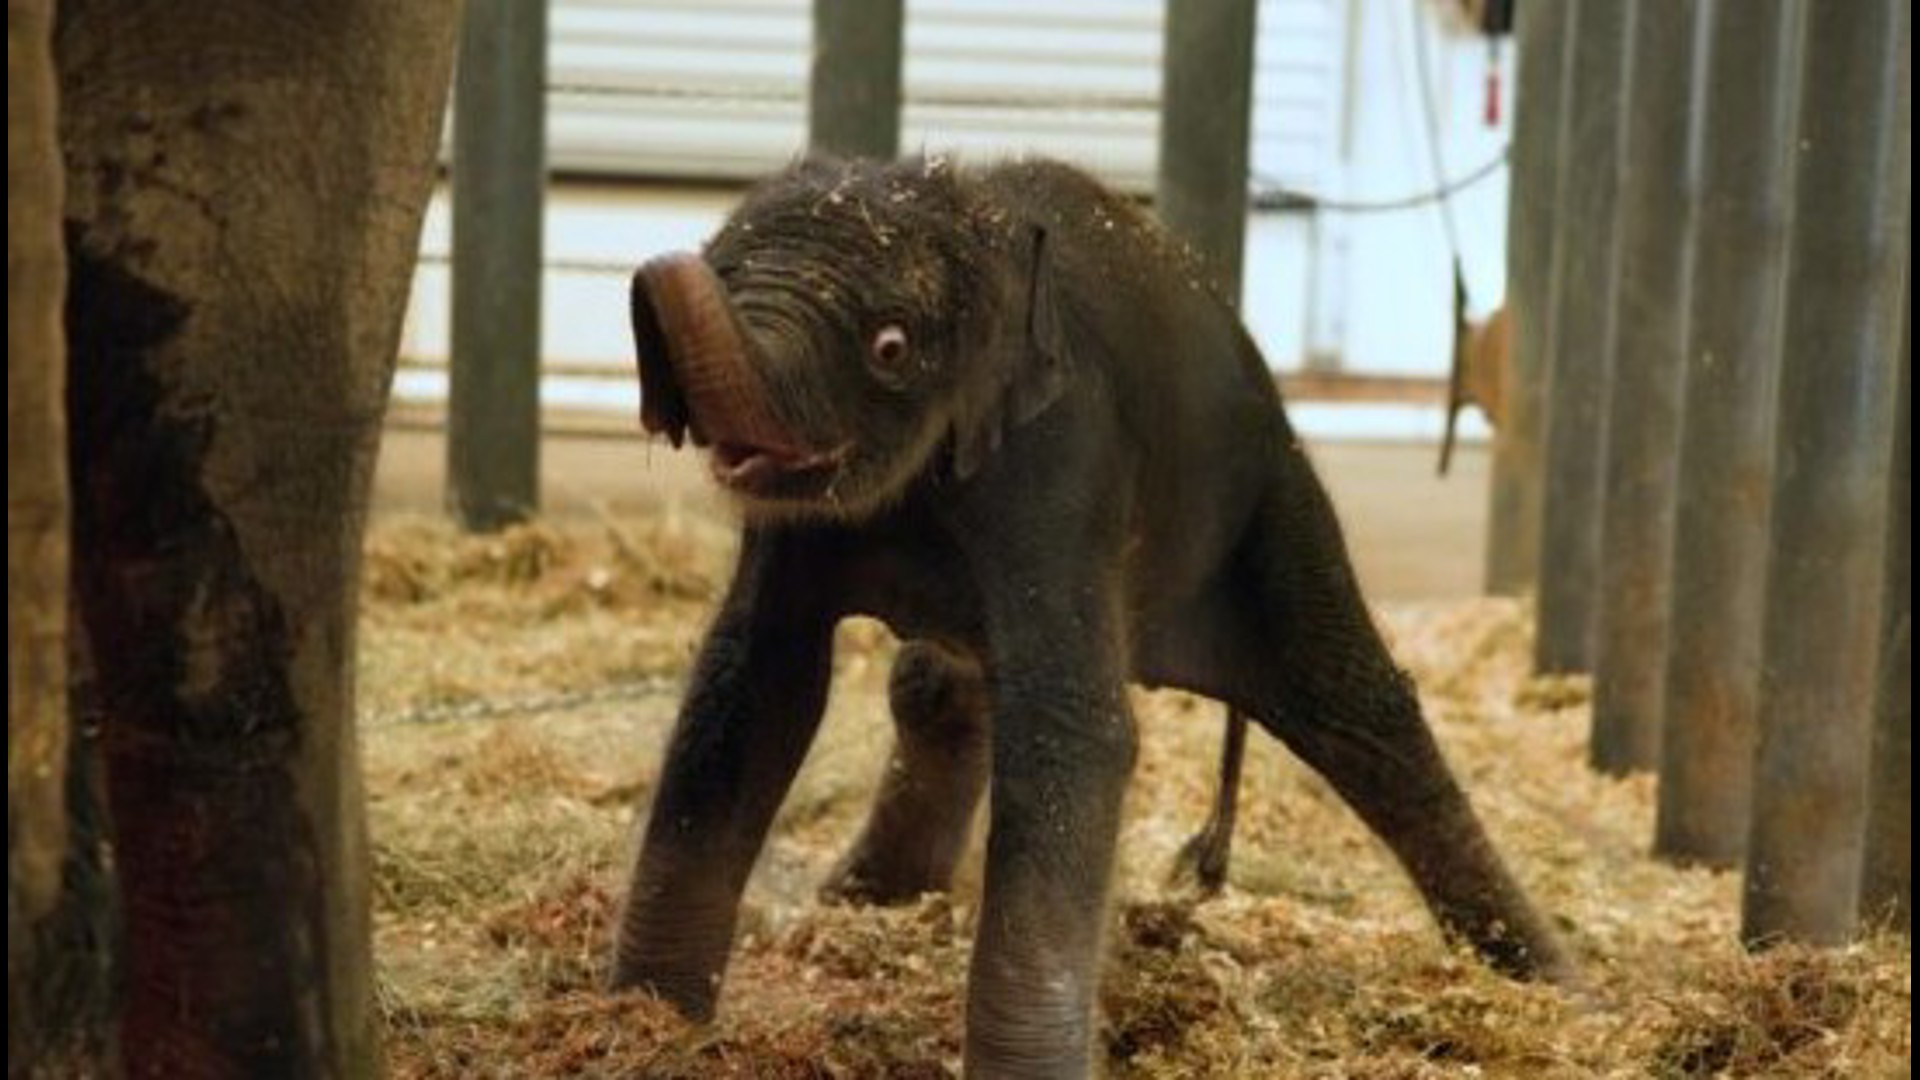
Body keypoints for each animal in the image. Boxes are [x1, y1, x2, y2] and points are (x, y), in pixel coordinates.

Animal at [618, 155, 1574, 1068]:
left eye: (890, 347)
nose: (659, 271)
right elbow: (751, 688)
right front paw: (645, 1023)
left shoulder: (1065, 462)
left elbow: (1074, 733)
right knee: (935, 685)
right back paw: (862, 896)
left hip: (1270, 497)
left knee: (1362, 716)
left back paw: (1561, 989)